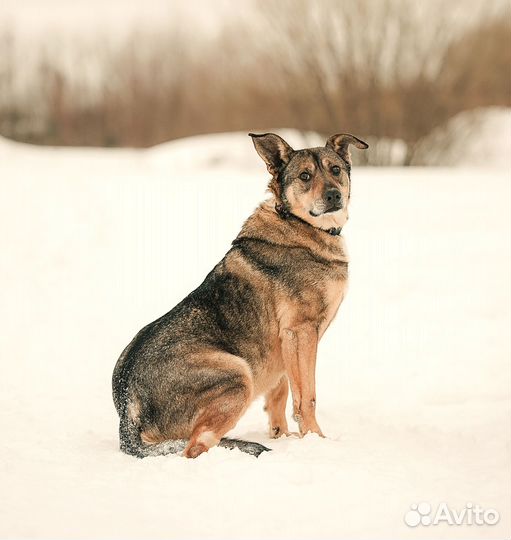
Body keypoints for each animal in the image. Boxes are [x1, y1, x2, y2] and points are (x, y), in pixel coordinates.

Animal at [112, 131, 368, 456]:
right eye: (305, 176)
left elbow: (280, 394)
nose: (335, 195)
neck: (299, 223)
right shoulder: (301, 332)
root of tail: (126, 409)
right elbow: (306, 396)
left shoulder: (284, 342)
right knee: (194, 447)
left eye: (335, 170)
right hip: (238, 374)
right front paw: (315, 440)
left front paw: (283, 436)